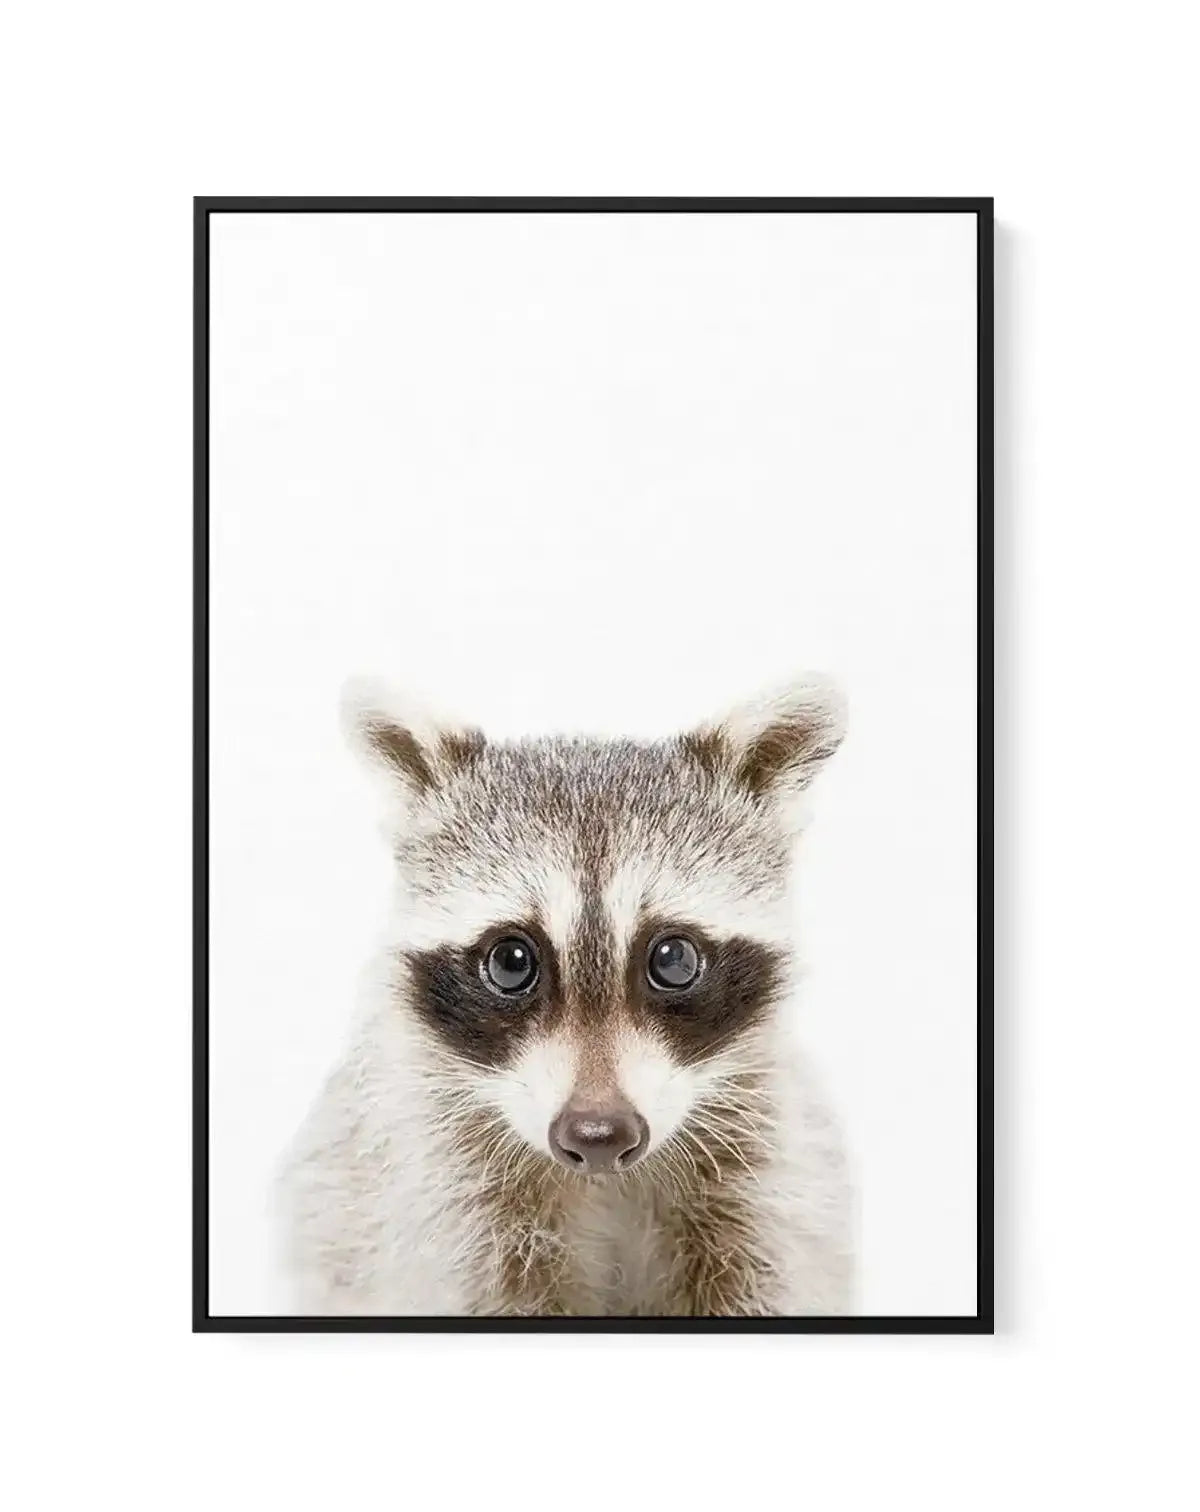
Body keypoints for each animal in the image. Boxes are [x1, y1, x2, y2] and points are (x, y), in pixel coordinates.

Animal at [281, 676, 853, 1317]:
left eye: (673, 959)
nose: (598, 1136)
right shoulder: (434, 1192)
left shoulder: (773, 1182)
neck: (603, 1180)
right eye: (510, 962)